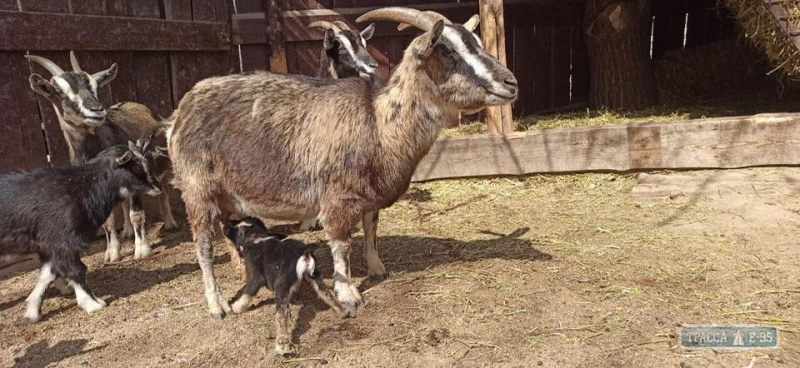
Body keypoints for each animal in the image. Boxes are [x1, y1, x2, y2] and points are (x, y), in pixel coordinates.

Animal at [0, 133, 162, 322]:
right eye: (135, 167)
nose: (158, 187)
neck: (82, 187)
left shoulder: (51, 245)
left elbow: (49, 272)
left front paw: (32, 310)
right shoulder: (63, 241)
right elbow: (76, 269)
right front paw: (92, 304)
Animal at [169, 7, 520, 320]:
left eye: (477, 42)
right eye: (446, 50)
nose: (510, 83)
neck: (378, 122)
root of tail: (180, 111)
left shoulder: (370, 195)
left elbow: (371, 228)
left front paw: (377, 269)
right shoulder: (336, 198)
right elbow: (341, 245)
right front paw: (349, 294)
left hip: (227, 195)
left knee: (226, 228)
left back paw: (242, 265)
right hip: (196, 189)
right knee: (203, 245)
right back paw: (217, 305)